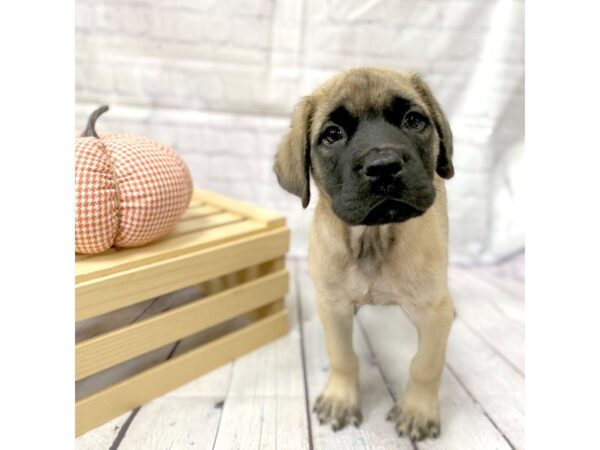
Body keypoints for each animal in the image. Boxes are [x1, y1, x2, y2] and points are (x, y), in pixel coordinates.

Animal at [274, 68, 454, 442]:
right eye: (332, 134)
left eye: (413, 120)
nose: (383, 166)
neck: (373, 241)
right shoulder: (333, 305)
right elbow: (343, 356)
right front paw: (341, 399)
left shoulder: (434, 310)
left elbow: (426, 364)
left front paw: (418, 409)